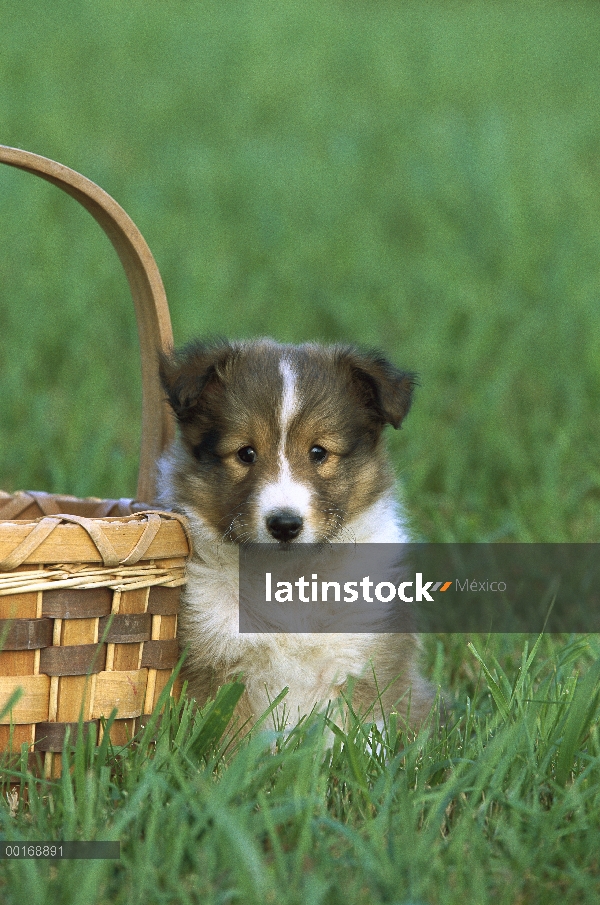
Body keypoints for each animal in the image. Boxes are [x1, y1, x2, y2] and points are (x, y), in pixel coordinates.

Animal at [157, 340, 434, 736]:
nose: (285, 525)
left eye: (318, 452)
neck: (290, 576)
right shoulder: (217, 670)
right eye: (245, 453)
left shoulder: (368, 666)